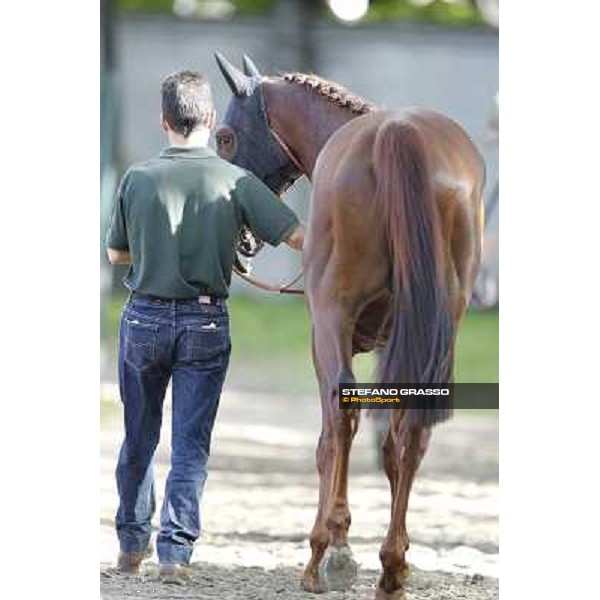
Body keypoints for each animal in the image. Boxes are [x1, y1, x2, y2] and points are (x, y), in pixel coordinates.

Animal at [213, 54, 486, 596]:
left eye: (226, 138)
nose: (238, 235)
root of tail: (398, 134)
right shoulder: (395, 343)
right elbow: (389, 445)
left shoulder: (326, 335)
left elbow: (330, 439)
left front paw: (332, 548)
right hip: (439, 328)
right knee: (411, 429)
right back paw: (392, 567)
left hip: (333, 320)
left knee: (343, 420)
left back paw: (327, 554)